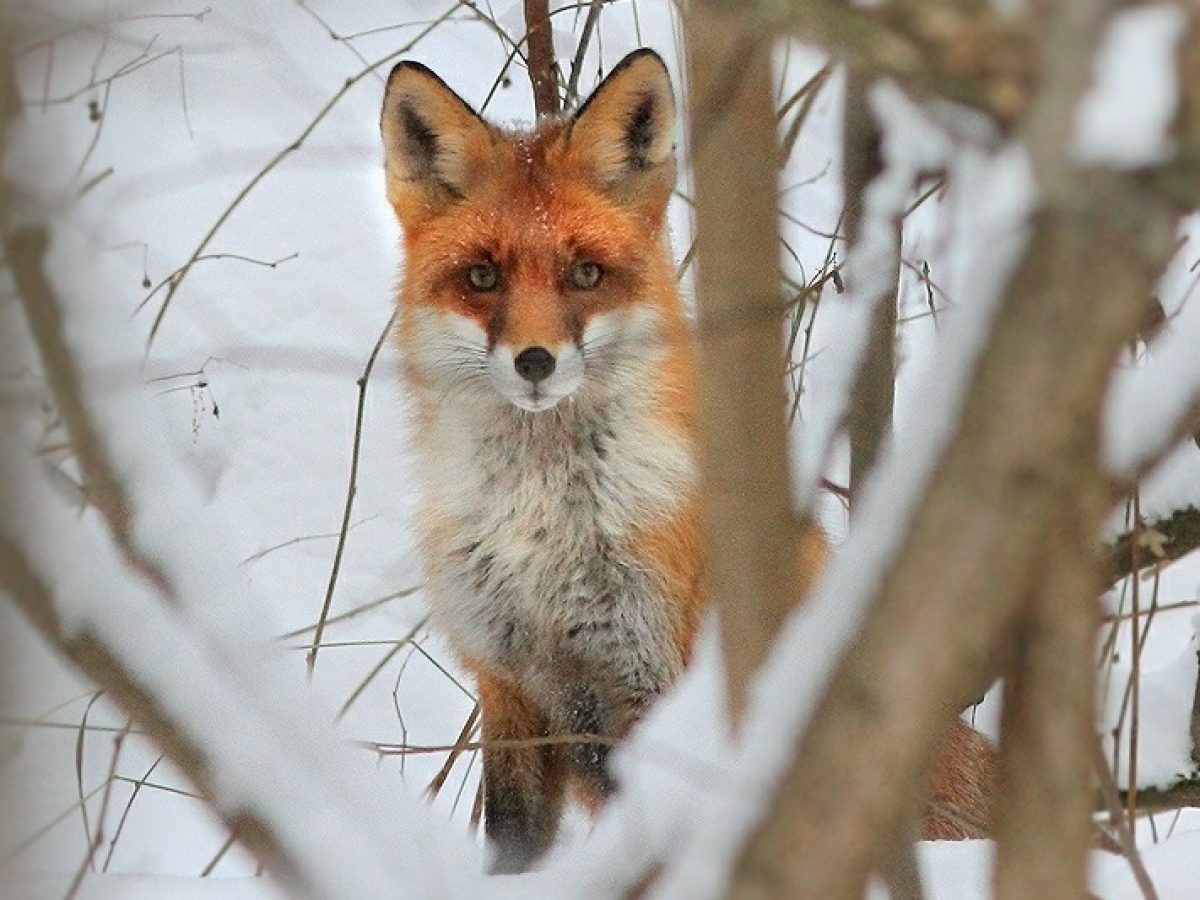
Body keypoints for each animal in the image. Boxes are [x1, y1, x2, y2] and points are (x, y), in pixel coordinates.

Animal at [376, 47, 993, 873]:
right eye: (482, 277)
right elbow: (511, 848)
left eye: (585, 274)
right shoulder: (511, 687)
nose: (535, 361)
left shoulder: (657, 687)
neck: (545, 525)